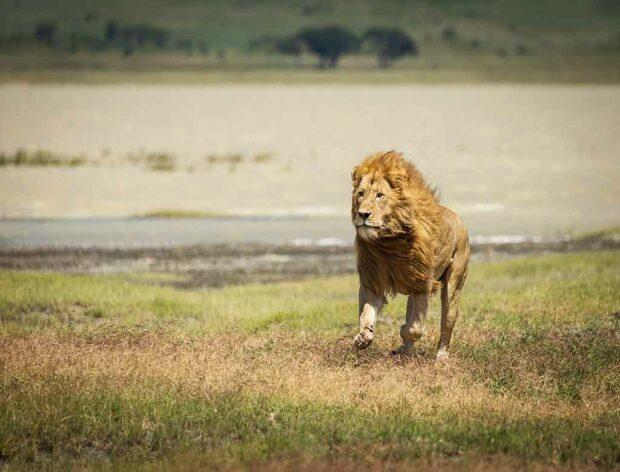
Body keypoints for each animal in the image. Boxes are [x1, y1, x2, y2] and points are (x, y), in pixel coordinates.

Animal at [348, 151, 470, 362]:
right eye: (360, 193)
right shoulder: (372, 280)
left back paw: (441, 358)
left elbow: (414, 329)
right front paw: (363, 337)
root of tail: (458, 218)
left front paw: (404, 336)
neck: (389, 241)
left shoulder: (423, 284)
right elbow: (366, 313)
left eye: (379, 195)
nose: (363, 214)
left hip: (454, 284)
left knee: (447, 323)